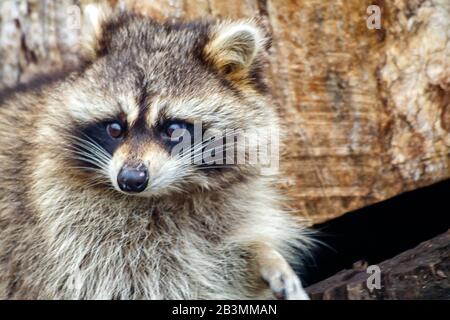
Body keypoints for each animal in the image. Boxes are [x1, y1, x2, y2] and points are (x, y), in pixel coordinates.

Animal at [0, 6, 312, 300]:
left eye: (173, 129)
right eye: (115, 128)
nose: (130, 179)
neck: (165, 195)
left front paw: (266, 254)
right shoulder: (68, 236)